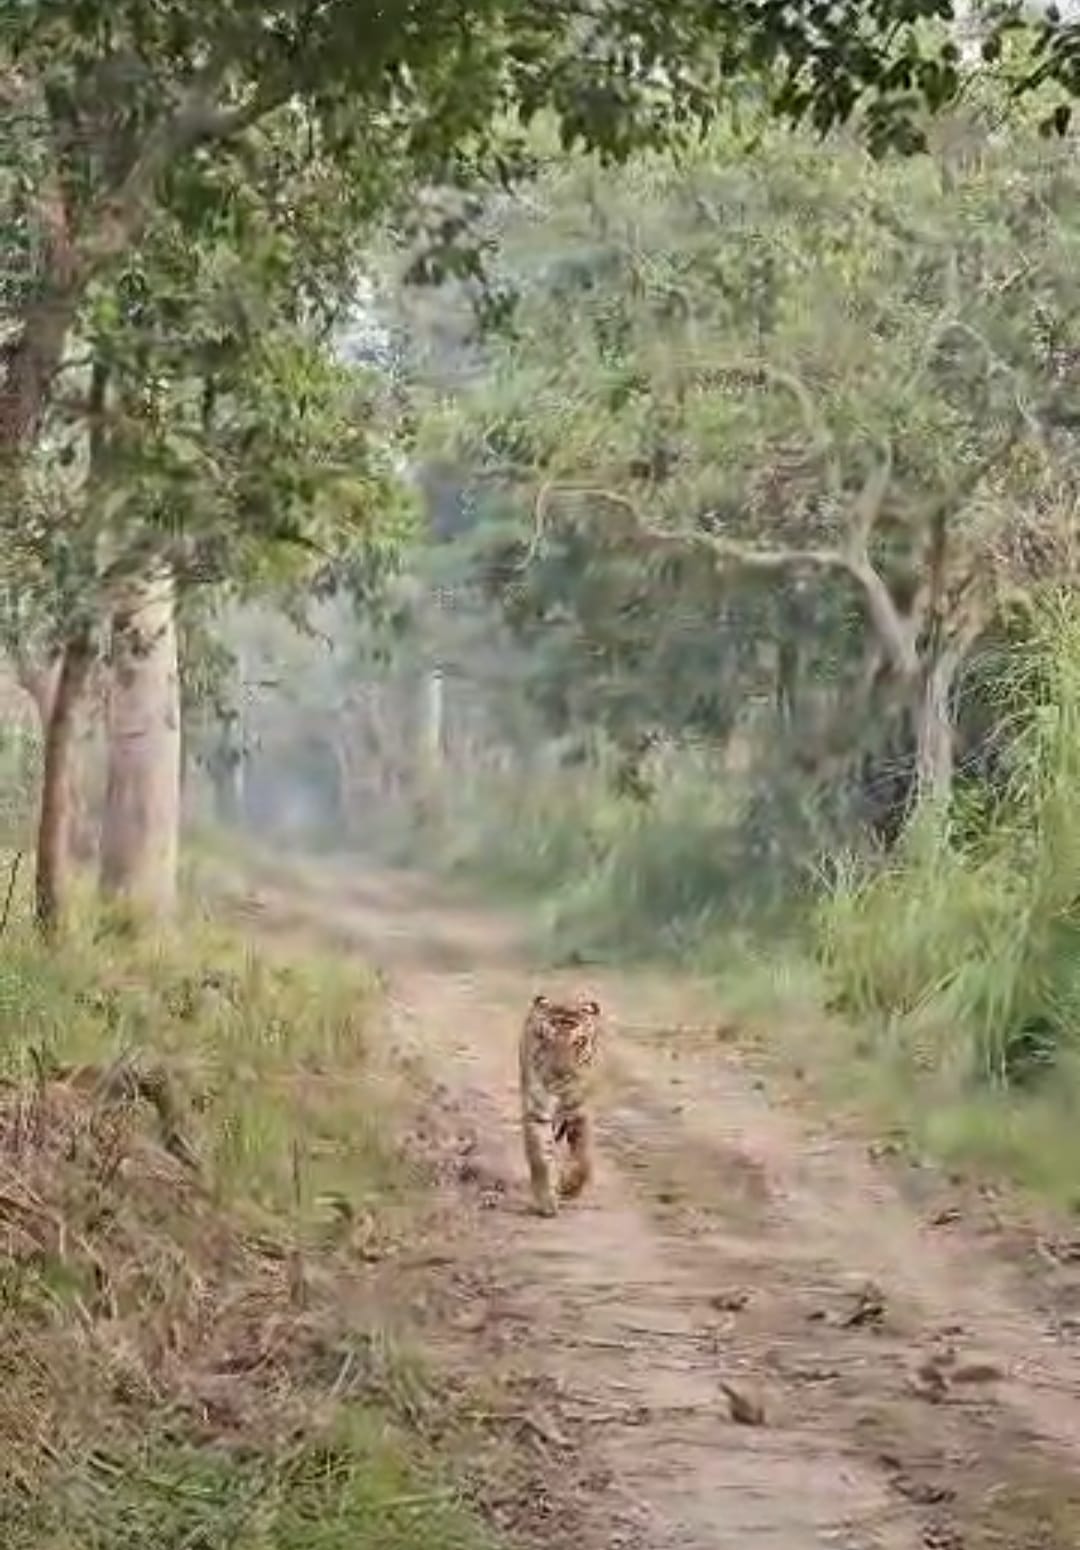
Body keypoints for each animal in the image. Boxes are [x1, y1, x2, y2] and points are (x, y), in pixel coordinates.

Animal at [519, 992, 602, 1217]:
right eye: (546, 1040)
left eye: (578, 1043)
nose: (560, 1075)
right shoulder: (536, 1111)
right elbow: (540, 1156)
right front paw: (546, 1200)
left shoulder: (580, 1111)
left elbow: (583, 1158)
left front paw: (569, 1187)